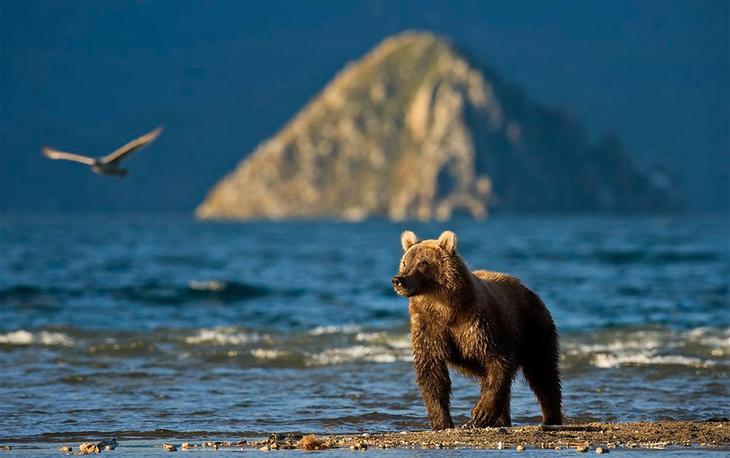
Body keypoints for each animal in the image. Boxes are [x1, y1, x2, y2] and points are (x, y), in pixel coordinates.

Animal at [390, 231, 560, 432]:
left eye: (422, 263)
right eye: (404, 262)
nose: (398, 280)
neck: (445, 307)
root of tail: (529, 290)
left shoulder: (478, 325)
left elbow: (497, 360)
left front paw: (481, 414)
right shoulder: (428, 327)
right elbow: (432, 373)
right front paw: (442, 423)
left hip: (533, 328)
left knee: (543, 373)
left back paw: (551, 418)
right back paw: (501, 421)